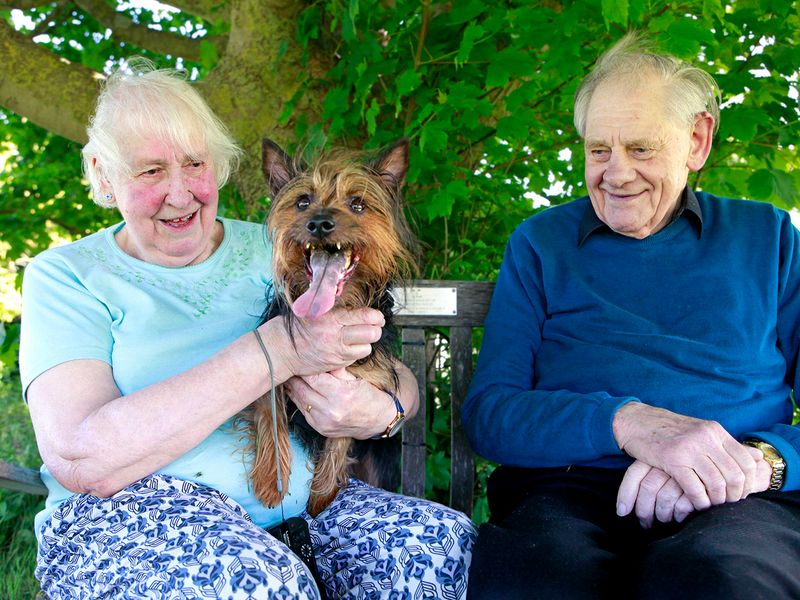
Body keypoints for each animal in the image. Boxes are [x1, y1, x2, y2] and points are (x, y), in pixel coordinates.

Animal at [244, 137, 418, 516]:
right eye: (302, 202)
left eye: (357, 204)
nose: (319, 223)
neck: (331, 311)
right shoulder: (271, 373)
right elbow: (271, 417)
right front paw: (270, 481)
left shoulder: (356, 394)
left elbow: (339, 439)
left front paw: (321, 495)